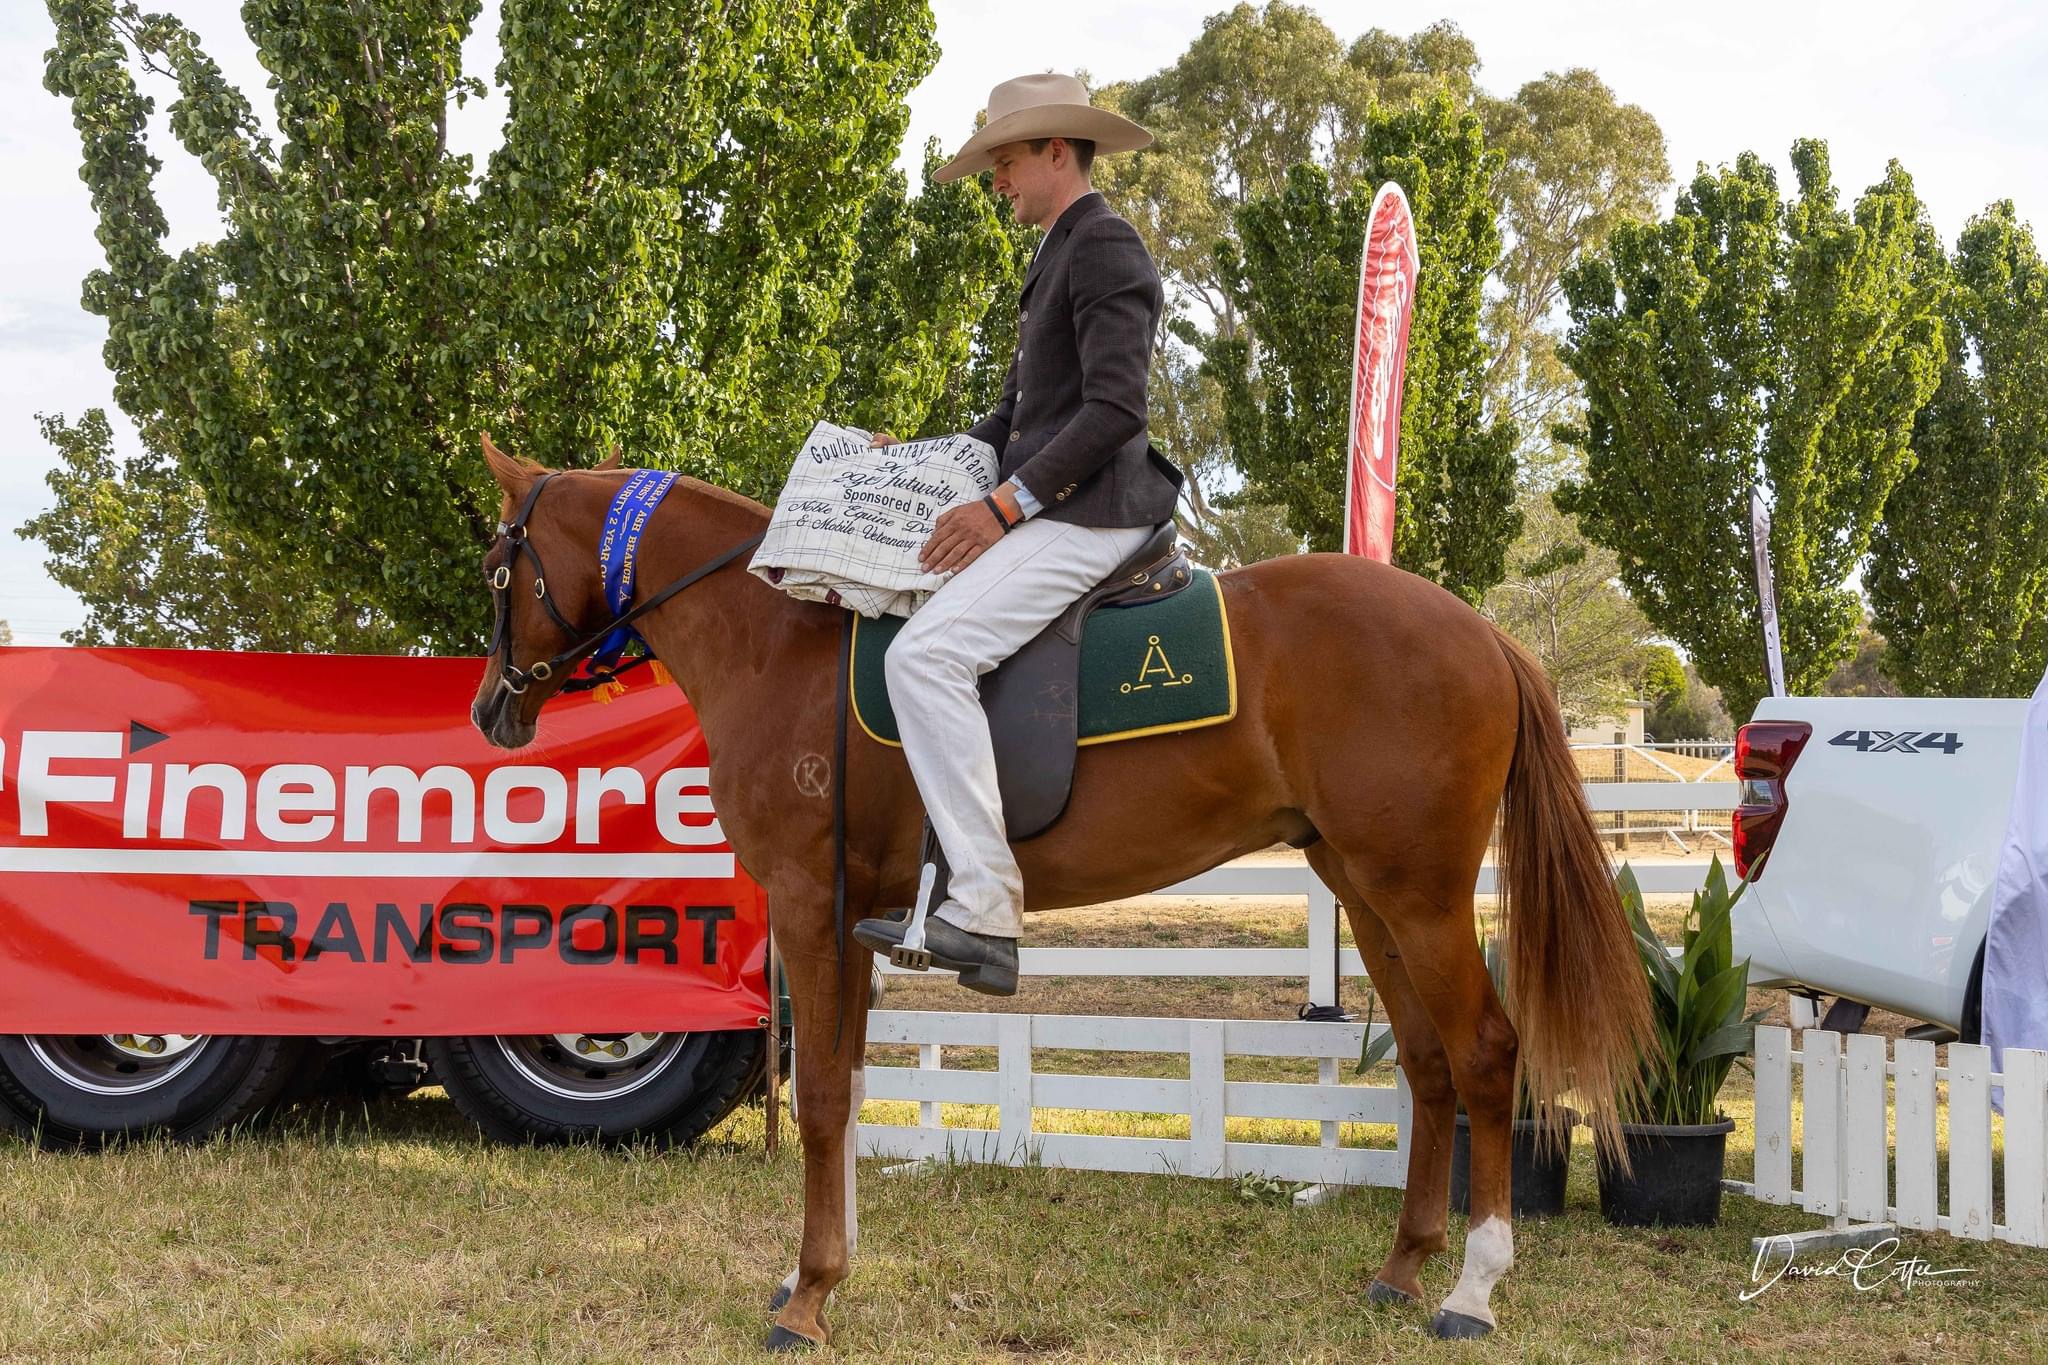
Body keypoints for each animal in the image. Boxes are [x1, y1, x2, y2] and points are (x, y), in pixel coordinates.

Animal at [467, 434, 1651, 1351]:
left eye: (496, 568)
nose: (490, 711)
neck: (776, 645)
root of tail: (1482, 630)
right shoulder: (848, 920)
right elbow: (849, 1090)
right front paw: (820, 1274)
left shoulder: (809, 905)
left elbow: (819, 1102)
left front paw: (807, 1302)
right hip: (1365, 893)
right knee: (1426, 1063)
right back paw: (1401, 1270)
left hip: (1420, 896)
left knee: (1486, 1055)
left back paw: (1471, 1289)